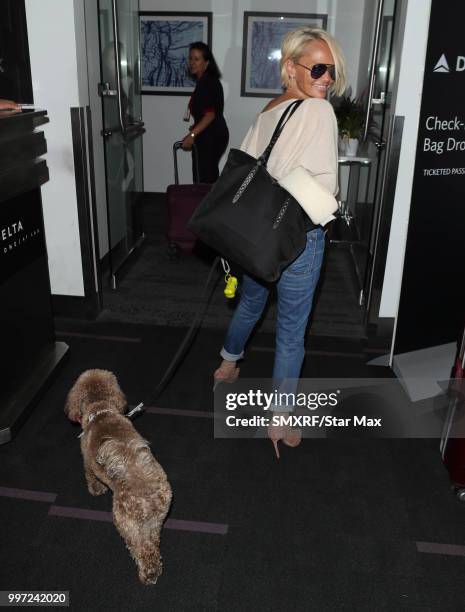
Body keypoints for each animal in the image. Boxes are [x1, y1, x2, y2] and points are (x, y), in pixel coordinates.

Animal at [65, 368, 172, 584]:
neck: (101, 410)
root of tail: (148, 496)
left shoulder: (87, 461)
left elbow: (90, 477)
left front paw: (96, 489)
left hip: (126, 523)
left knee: (141, 549)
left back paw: (147, 574)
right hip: (155, 521)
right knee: (152, 546)